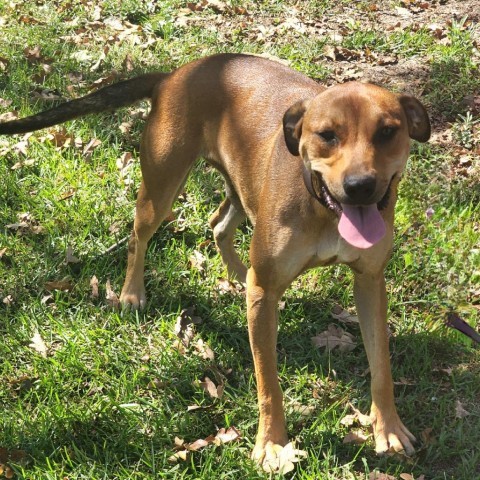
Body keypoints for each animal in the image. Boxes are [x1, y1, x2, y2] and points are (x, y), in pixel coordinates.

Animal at [0, 53, 430, 468]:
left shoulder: (370, 282)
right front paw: (272, 445)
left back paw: (239, 274)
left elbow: (381, 367)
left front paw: (388, 428)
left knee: (218, 225)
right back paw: (132, 292)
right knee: (139, 236)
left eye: (387, 132)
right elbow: (269, 383)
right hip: (162, 185)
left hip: (241, 184)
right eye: (327, 135)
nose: (360, 186)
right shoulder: (270, 295)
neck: (323, 208)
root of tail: (173, 76)